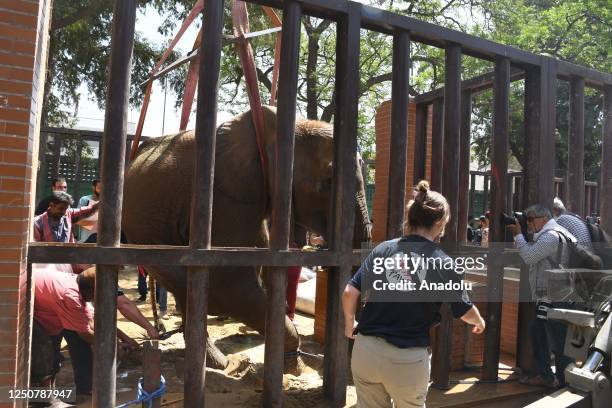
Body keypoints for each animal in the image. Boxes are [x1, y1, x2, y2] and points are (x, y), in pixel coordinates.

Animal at [122, 106, 370, 370]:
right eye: (328, 183)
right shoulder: (225, 194)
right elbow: (230, 286)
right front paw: (292, 365)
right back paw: (218, 362)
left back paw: (214, 362)